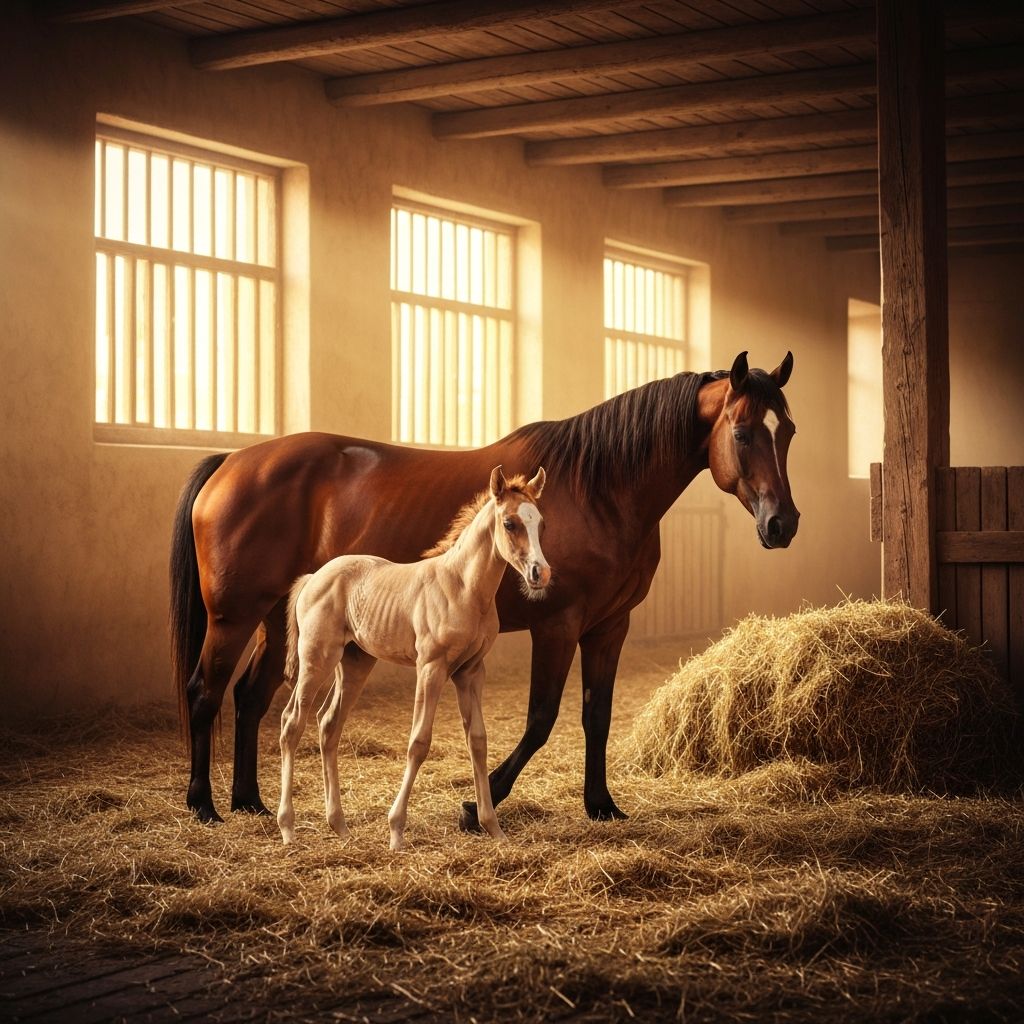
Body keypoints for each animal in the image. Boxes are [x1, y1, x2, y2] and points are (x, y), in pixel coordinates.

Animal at [277, 466, 549, 851]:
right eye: (510, 523)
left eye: (541, 524)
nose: (541, 573)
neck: (463, 588)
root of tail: (314, 577)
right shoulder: (431, 668)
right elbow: (419, 742)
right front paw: (396, 831)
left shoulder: (470, 672)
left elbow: (478, 741)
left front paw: (492, 827)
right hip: (318, 659)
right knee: (292, 723)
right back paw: (287, 827)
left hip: (355, 663)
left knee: (328, 724)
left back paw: (340, 826)